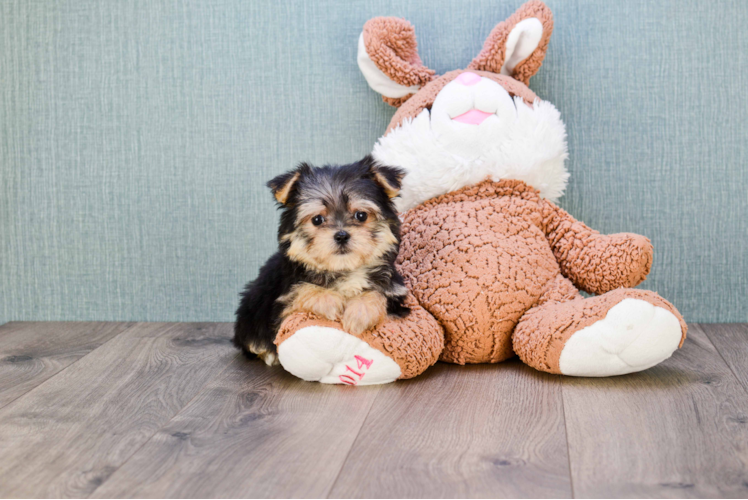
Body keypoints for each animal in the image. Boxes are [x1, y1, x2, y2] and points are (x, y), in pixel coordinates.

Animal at [232, 154, 410, 366]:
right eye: (317, 220)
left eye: (361, 215)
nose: (341, 235)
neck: (344, 269)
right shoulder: (283, 302)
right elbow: (302, 289)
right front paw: (331, 301)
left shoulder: (395, 290)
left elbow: (378, 293)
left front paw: (359, 314)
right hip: (253, 308)